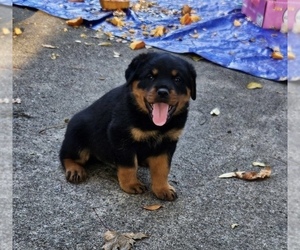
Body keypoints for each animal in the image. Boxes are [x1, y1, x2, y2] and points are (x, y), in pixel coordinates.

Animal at [60, 51, 197, 200]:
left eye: (178, 79)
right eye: (150, 77)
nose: (162, 92)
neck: (154, 124)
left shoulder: (168, 142)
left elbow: (162, 168)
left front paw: (162, 188)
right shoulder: (121, 136)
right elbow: (129, 165)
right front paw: (131, 185)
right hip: (77, 135)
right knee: (65, 155)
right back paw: (75, 169)